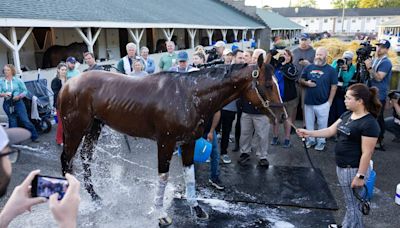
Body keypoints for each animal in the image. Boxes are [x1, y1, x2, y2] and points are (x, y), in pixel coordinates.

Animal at [58, 56, 284, 224]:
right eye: (267, 85)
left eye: (276, 84)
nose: (282, 116)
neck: (189, 96)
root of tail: (67, 84)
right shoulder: (165, 143)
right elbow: (163, 177)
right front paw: (160, 213)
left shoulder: (189, 142)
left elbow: (190, 175)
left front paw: (196, 209)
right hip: (74, 130)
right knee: (67, 160)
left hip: (94, 127)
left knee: (86, 158)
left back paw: (96, 197)